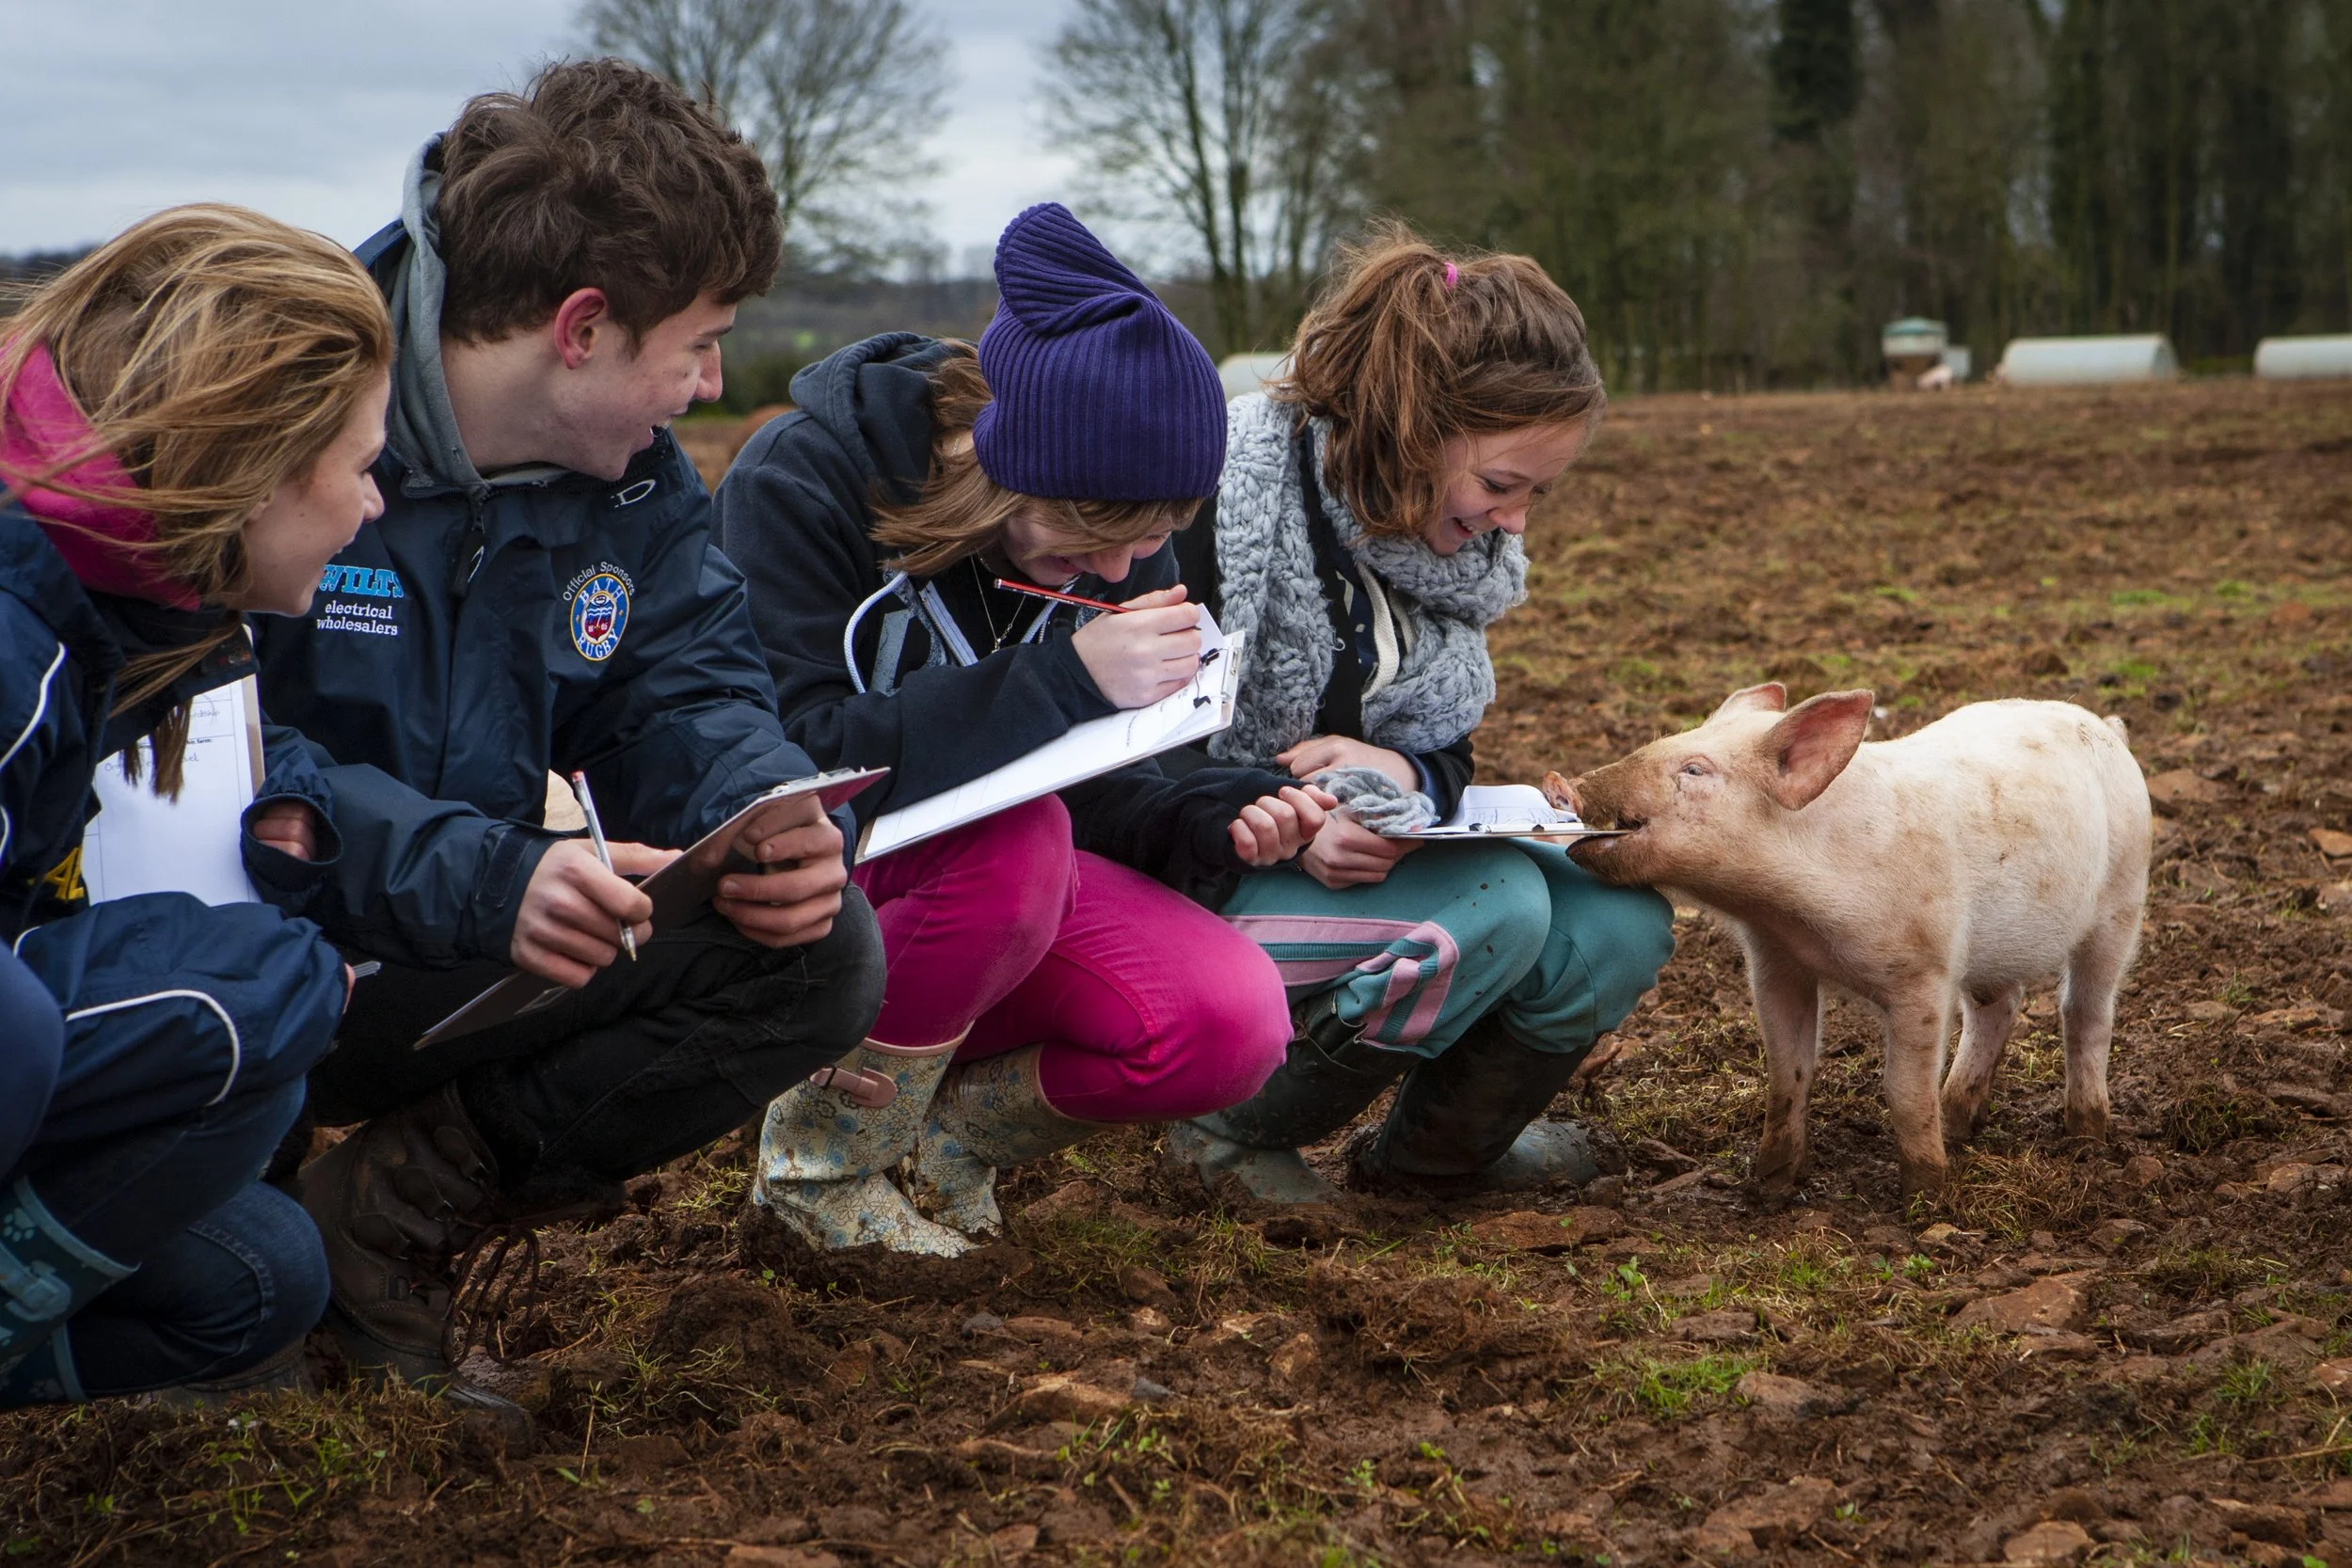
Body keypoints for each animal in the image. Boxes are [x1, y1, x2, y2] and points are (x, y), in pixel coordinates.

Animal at [1545, 686, 2150, 1198]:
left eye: (1695, 769)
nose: (1558, 781)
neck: (1794, 917)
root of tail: (2110, 730)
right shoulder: (1776, 962)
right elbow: (1787, 1074)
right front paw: (1767, 1189)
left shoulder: (1924, 971)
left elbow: (1904, 1091)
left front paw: (1926, 1197)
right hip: (1994, 951)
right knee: (1999, 1008)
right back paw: (1959, 1124)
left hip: (2122, 900)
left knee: (2086, 1012)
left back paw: (2086, 1139)